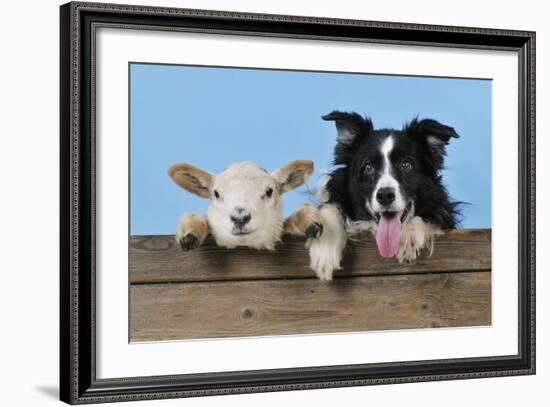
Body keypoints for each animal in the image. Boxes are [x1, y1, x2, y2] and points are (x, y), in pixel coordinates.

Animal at [310, 112, 462, 284]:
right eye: (368, 167)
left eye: (406, 165)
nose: (385, 195)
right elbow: (331, 207)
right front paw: (324, 254)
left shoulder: (443, 209)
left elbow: (428, 216)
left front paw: (407, 238)